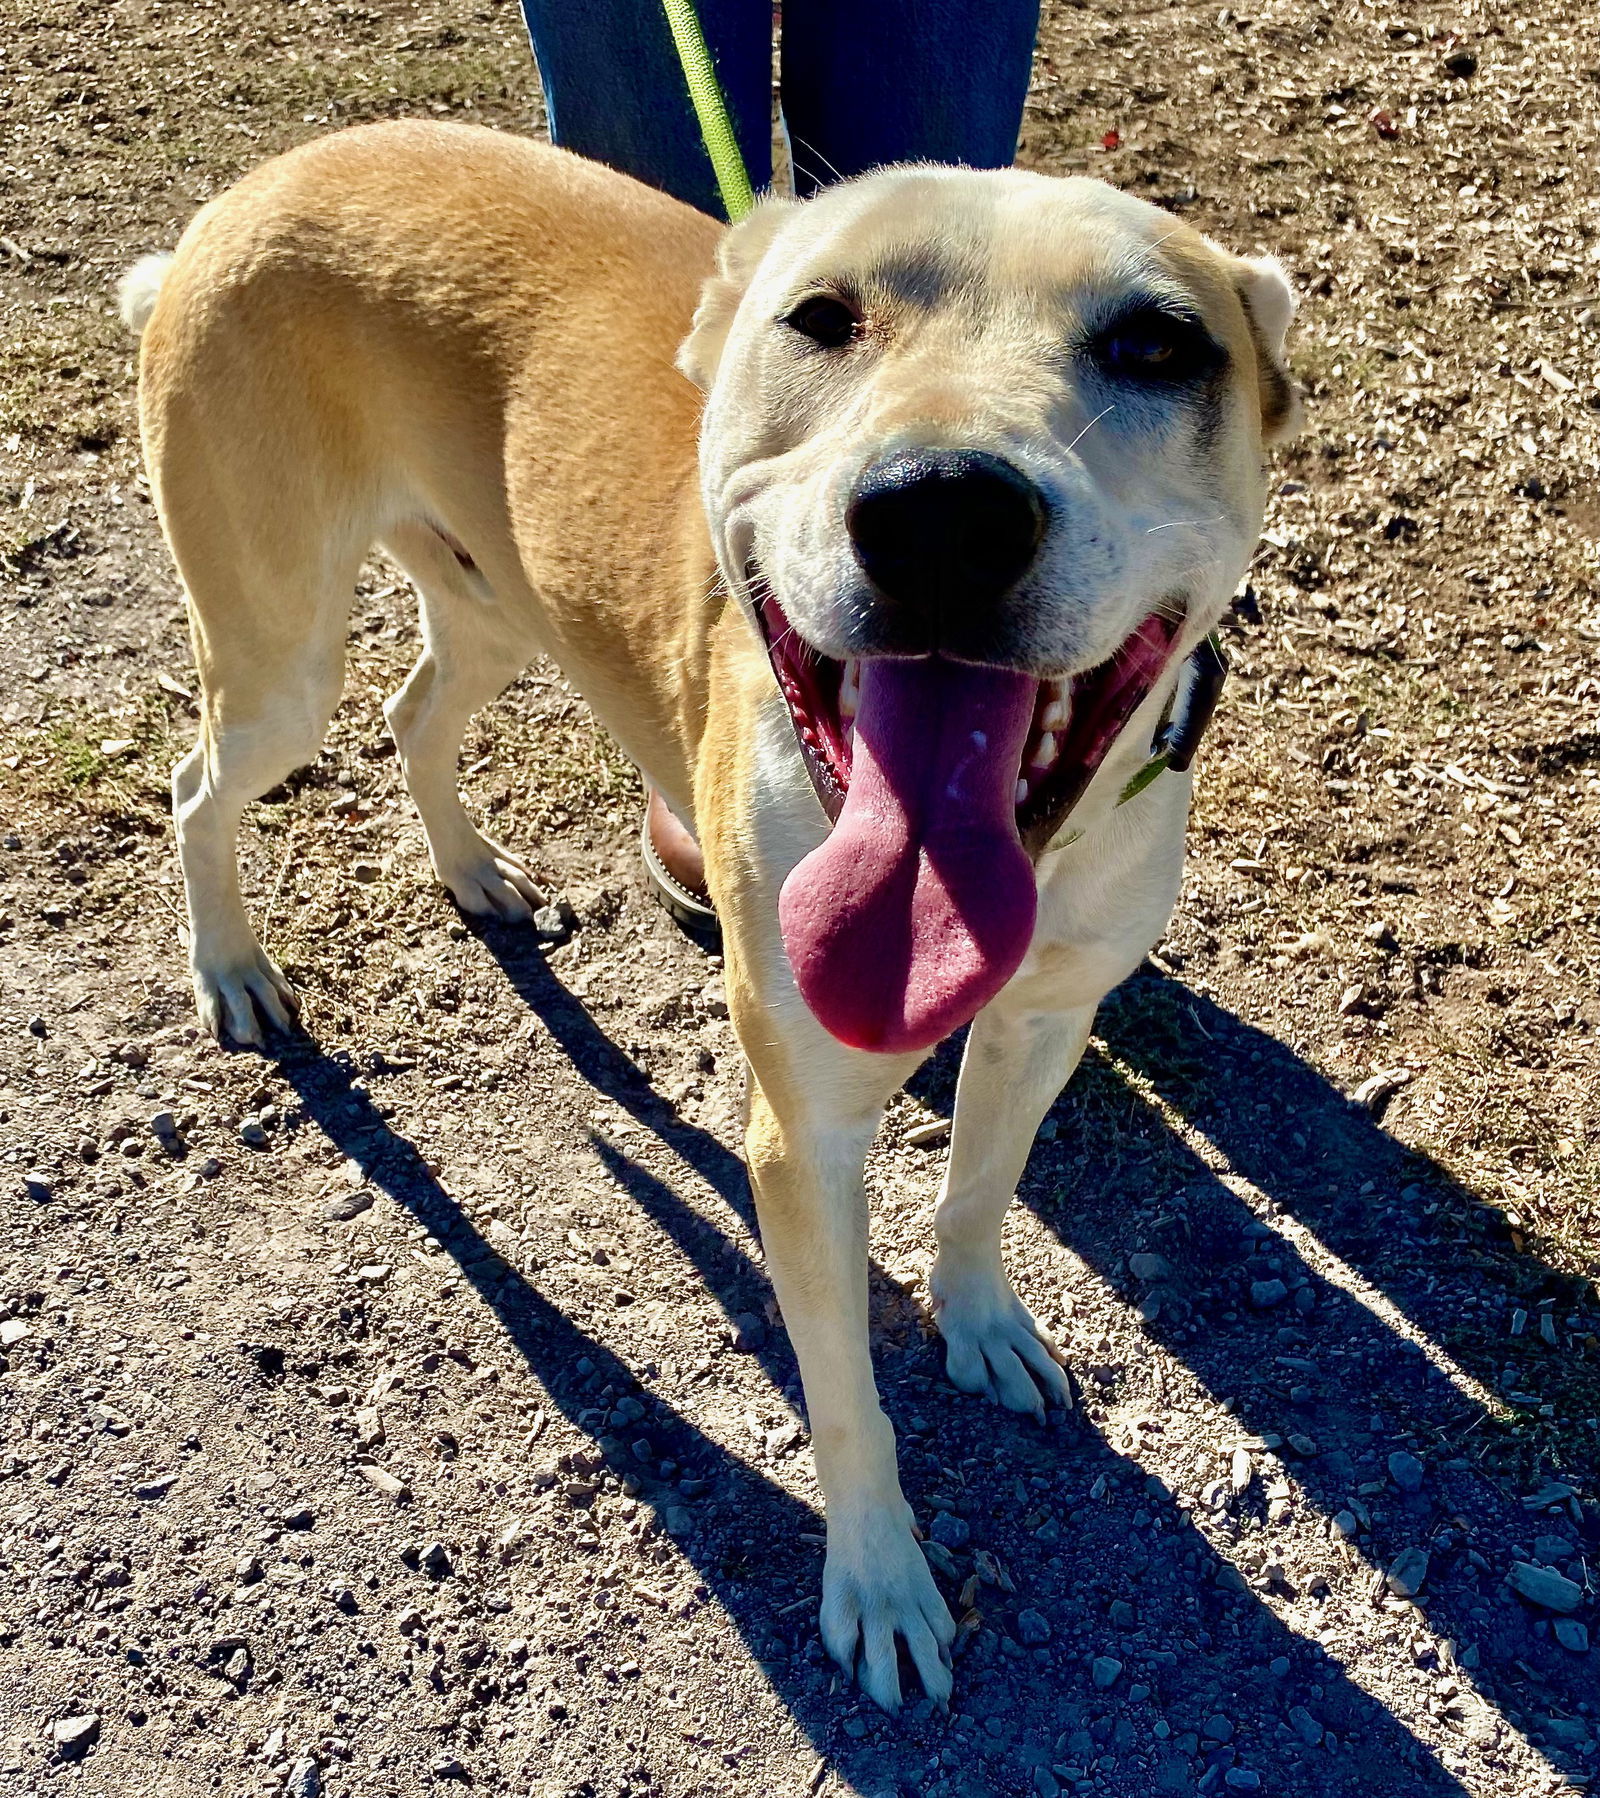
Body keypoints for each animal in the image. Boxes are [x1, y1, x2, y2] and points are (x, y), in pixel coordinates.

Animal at [121, 119, 1294, 1704]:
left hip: (493, 601)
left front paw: (984, 1321)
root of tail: (258, 186)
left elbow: (982, 1185)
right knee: (198, 782)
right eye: (820, 316)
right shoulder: (802, 1132)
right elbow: (846, 1390)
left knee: (413, 714)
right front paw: (882, 1580)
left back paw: (474, 874)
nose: (941, 512)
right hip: (276, 643)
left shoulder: (1047, 1018)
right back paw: (235, 969)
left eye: (1156, 344)